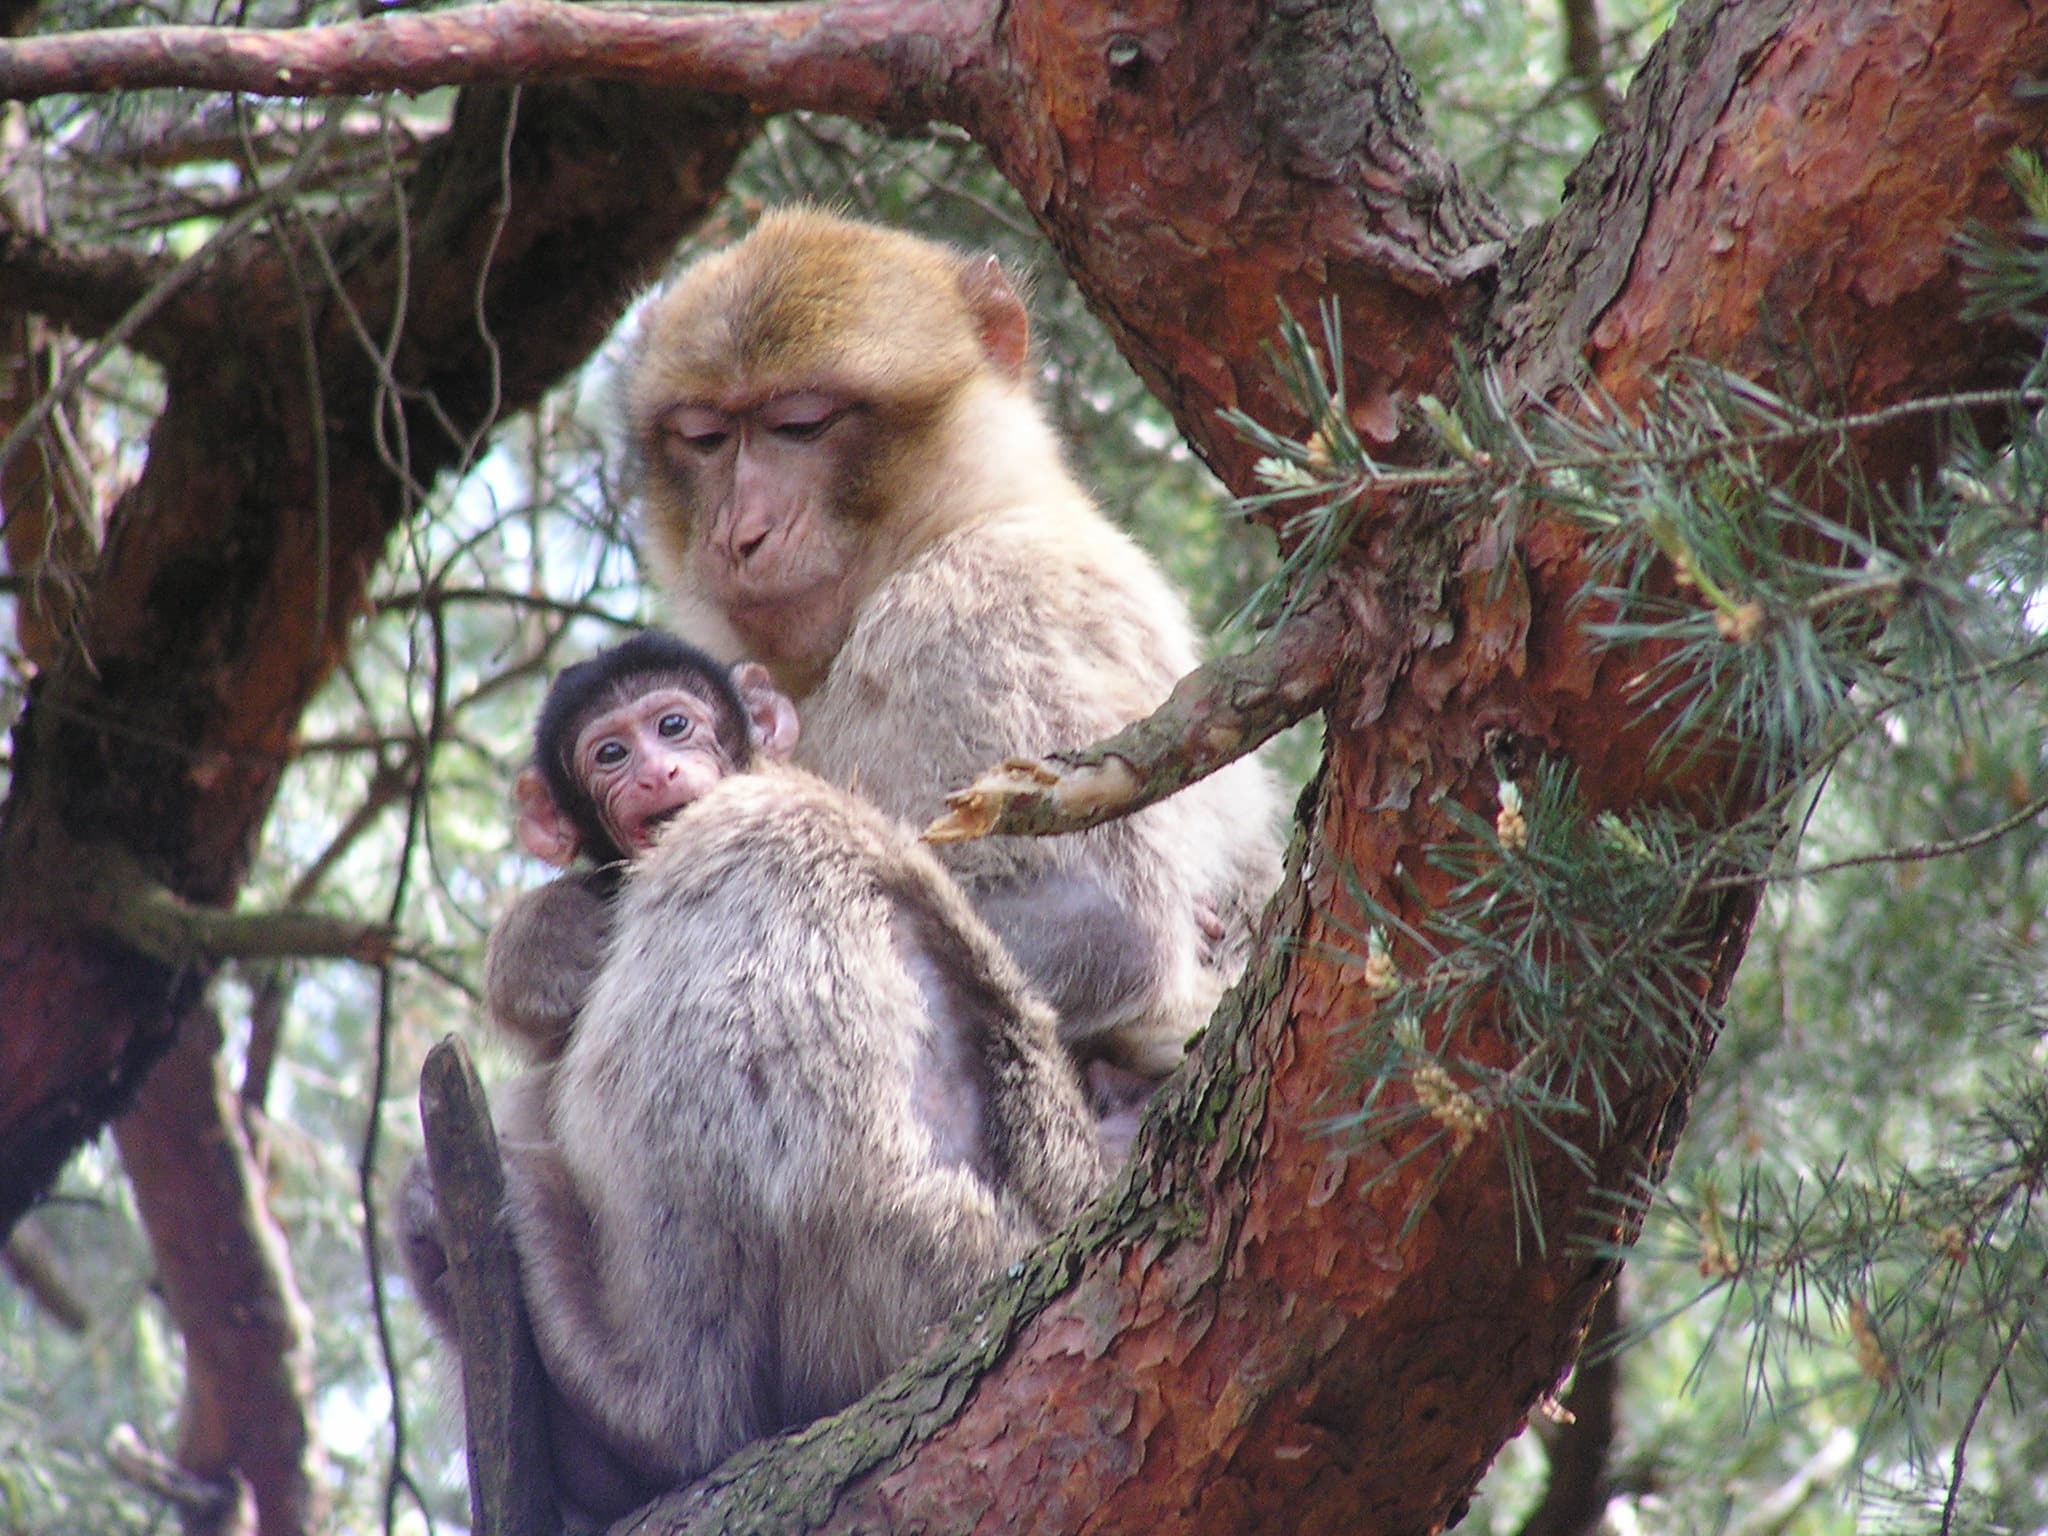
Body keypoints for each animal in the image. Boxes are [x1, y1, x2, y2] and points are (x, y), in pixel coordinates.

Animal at [628, 205, 1283, 1087]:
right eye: (704, 438)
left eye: (801, 426)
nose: (741, 534)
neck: (946, 524)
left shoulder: (986, 612)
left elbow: (1108, 925)